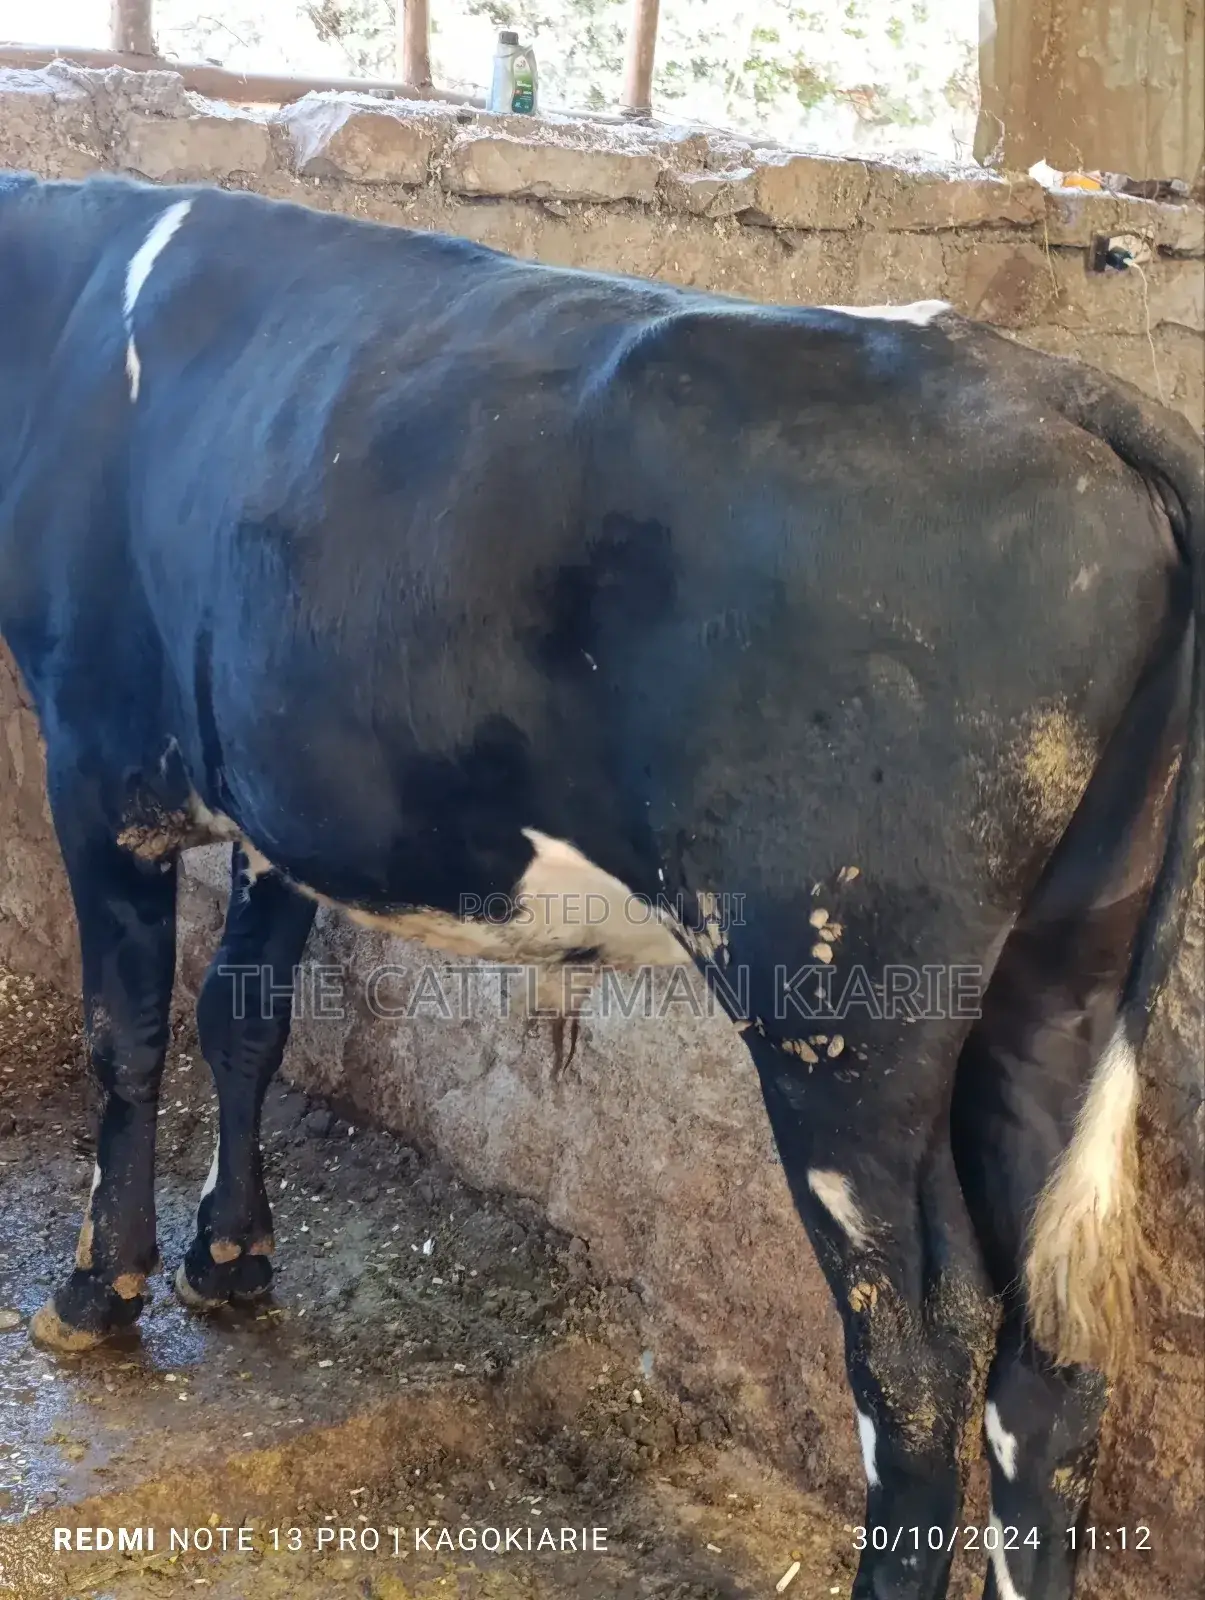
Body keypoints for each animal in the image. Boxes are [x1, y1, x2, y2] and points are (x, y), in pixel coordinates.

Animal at [0, 169, 1200, 1600]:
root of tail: (1056, 388)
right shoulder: (273, 798)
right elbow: (244, 1019)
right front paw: (230, 1259)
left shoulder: (94, 756)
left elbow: (125, 1038)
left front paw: (98, 1293)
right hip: (1065, 975)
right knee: (1050, 1359)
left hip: (839, 991)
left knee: (917, 1352)